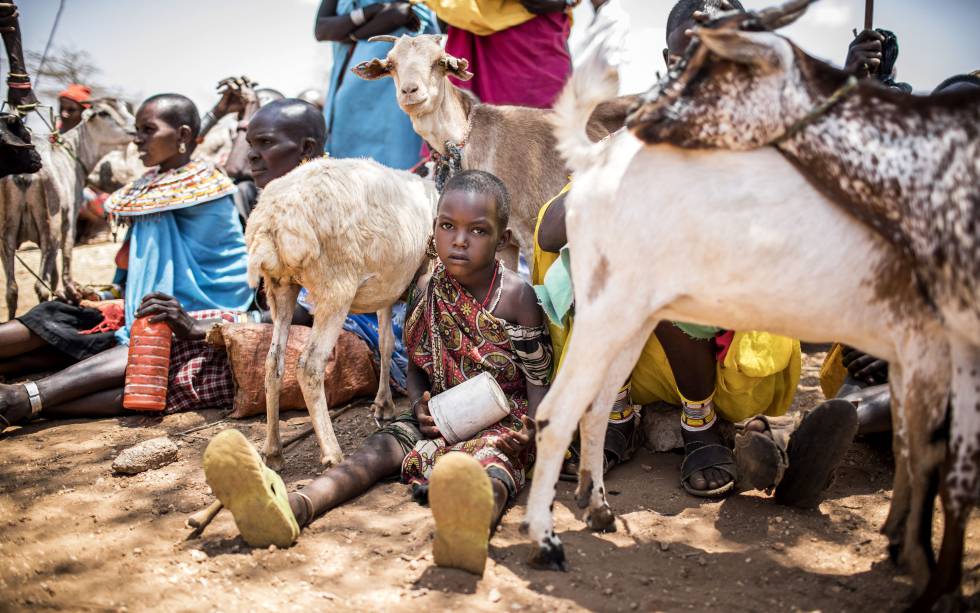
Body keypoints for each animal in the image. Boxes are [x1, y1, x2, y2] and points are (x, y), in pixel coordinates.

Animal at [245, 154, 436, 468]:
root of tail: (271, 222)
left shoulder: (385, 288)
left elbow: (385, 343)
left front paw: (383, 404)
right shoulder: (426, 268)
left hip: (279, 287)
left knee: (273, 361)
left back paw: (273, 451)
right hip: (335, 287)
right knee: (309, 365)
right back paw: (332, 452)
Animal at [352, 33, 636, 262]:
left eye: (440, 62)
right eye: (391, 64)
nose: (410, 91)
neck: (477, 141)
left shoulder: (531, 231)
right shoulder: (504, 243)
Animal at [524, 44, 952, 608]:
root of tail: (596, 161)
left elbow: (914, 451)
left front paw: (901, 543)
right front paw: (925, 569)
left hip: (633, 315)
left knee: (594, 411)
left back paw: (598, 508)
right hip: (611, 309)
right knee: (556, 412)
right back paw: (545, 541)